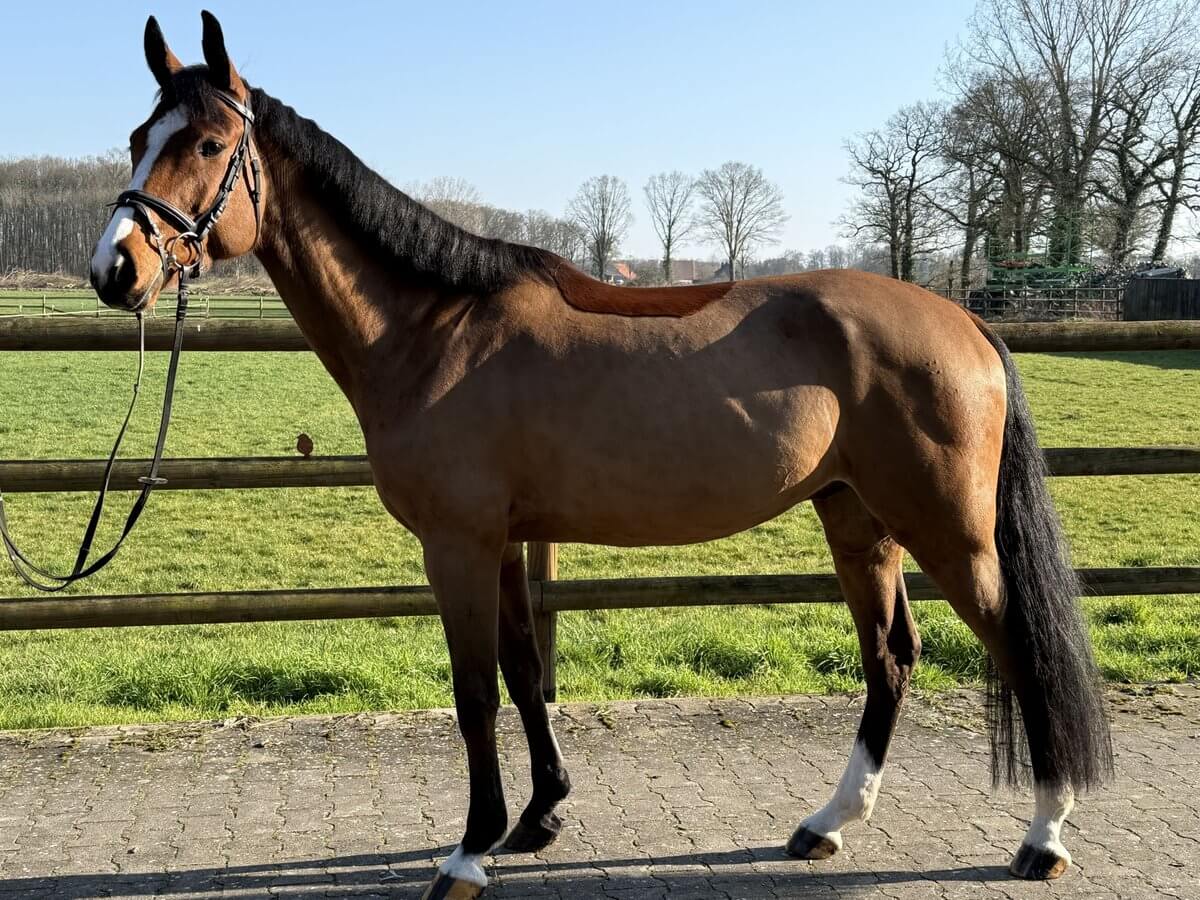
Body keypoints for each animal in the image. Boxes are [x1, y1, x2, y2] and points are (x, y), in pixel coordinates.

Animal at [88, 12, 1112, 898]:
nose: (115, 268)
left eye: (207, 145)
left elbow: (474, 691)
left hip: (948, 530)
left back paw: (1044, 836)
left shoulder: (457, 545)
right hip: (856, 517)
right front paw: (539, 815)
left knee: (1017, 644)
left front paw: (468, 852)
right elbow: (519, 672)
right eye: (138, 134)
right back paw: (827, 822)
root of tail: (966, 321)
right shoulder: (501, 541)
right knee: (891, 656)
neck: (435, 330)